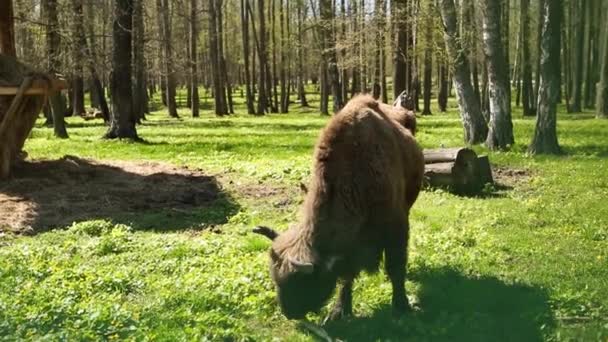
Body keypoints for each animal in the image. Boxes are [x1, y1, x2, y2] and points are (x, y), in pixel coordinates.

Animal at [252, 94, 422, 320]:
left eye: (303, 283)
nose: (289, 313)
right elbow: (346, 276)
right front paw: (340, 311)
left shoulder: (397, 228)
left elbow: (395, 267)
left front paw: (401, 305)